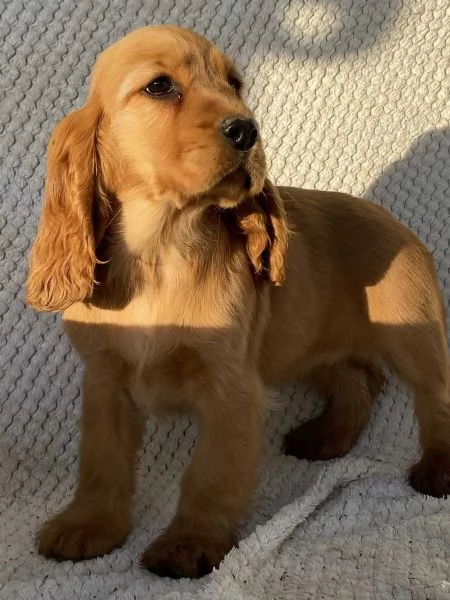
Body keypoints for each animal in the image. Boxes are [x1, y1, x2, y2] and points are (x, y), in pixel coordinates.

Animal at [27, 25, 450, 580]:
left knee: (433, 395)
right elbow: (102, 462)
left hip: (412, 334)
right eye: (159, 86)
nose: (247, 131)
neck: (161, 250)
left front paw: (189, 543)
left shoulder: (231, 386)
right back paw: (327, 437)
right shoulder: (105, 378)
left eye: (235, 85)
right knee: (358, 379)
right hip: (304, 347)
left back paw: (438, 467)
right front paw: (89, 526)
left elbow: (210, 474)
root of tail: (395, 220)